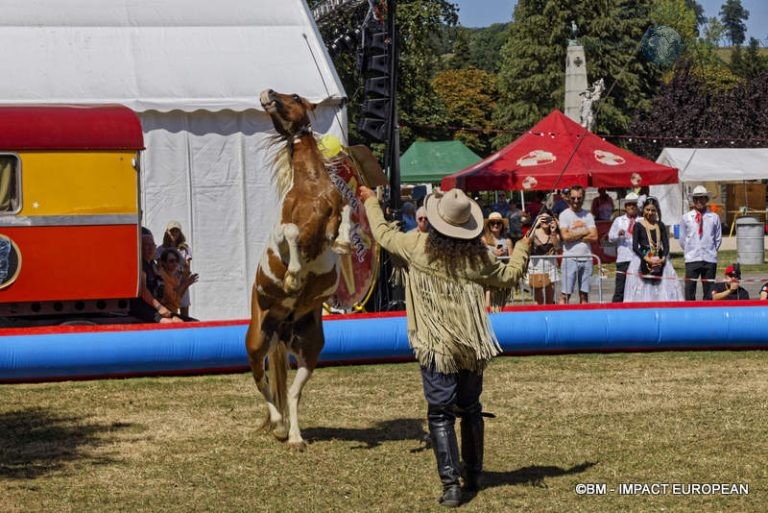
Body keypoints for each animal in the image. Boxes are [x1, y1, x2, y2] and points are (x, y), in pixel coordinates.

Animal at [246, 90, 352, 450]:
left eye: (293, 96)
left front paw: (345, 242)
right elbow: (292, 233)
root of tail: (282, 329)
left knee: (292, 393)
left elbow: (346, 222)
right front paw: (293, 277)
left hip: (310, 348)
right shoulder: (283, 231)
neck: (311, 187)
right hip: (256, 340)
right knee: (261, 381)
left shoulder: (335, 210)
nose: (266, 93)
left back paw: (294, 437)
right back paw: (278, 426)